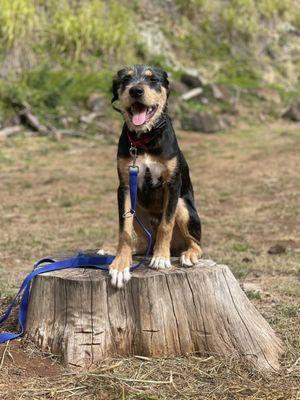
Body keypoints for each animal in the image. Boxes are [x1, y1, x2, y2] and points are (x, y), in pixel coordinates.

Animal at [106, 64, 203, 288]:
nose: (136, 91)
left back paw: (187, 254)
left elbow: (166, 225)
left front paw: (160, 258)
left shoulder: (173, 184)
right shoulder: (125, 187)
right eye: (126, 80)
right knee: (143, 242)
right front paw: (120, 265)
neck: (146, 140)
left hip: (183, 207)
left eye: (153, 80)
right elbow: (124, 229)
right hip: (138, 209)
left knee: (197, 243)